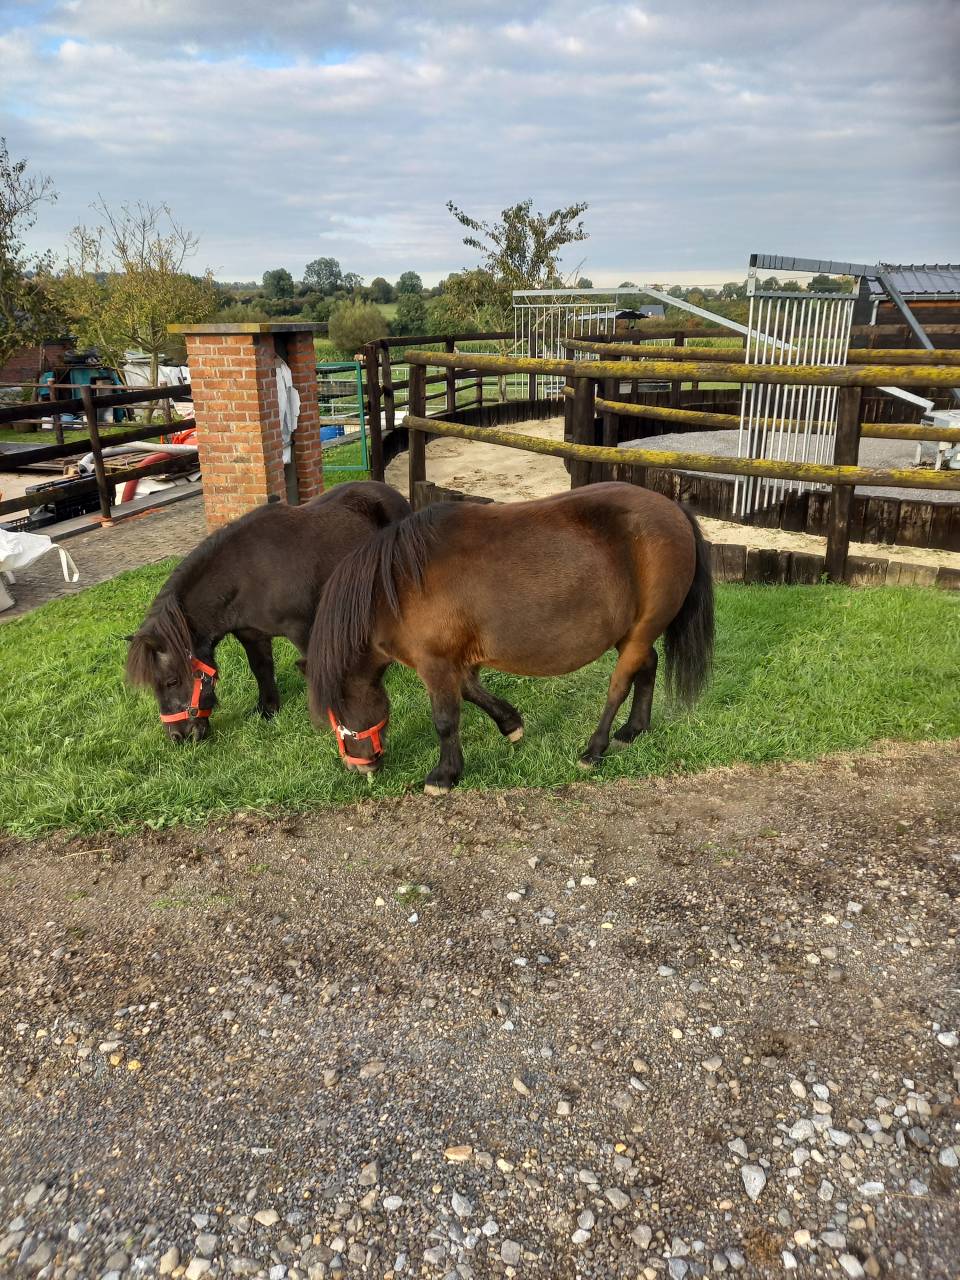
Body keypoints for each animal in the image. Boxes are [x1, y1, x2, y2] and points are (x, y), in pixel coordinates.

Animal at [126, 481, 411, 741]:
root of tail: (392, 492)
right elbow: (261, 669)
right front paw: (268, 709)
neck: (245, 575)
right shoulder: (251, 635)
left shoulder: (302, 629)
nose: (179, 736)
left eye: (171, 681)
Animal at [306, 482, 714, 793]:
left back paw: (594, 749)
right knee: (648, 664)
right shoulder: (457, 660)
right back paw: (632, 730)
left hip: (641, 630)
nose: (359, 765)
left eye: (337, 707)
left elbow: (445, 719)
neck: (401, 583)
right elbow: (472, 692)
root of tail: (673, 509)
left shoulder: (435, 664)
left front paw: (445, 775)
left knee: (619, 685)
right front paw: (511, 725)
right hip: (630, 632)